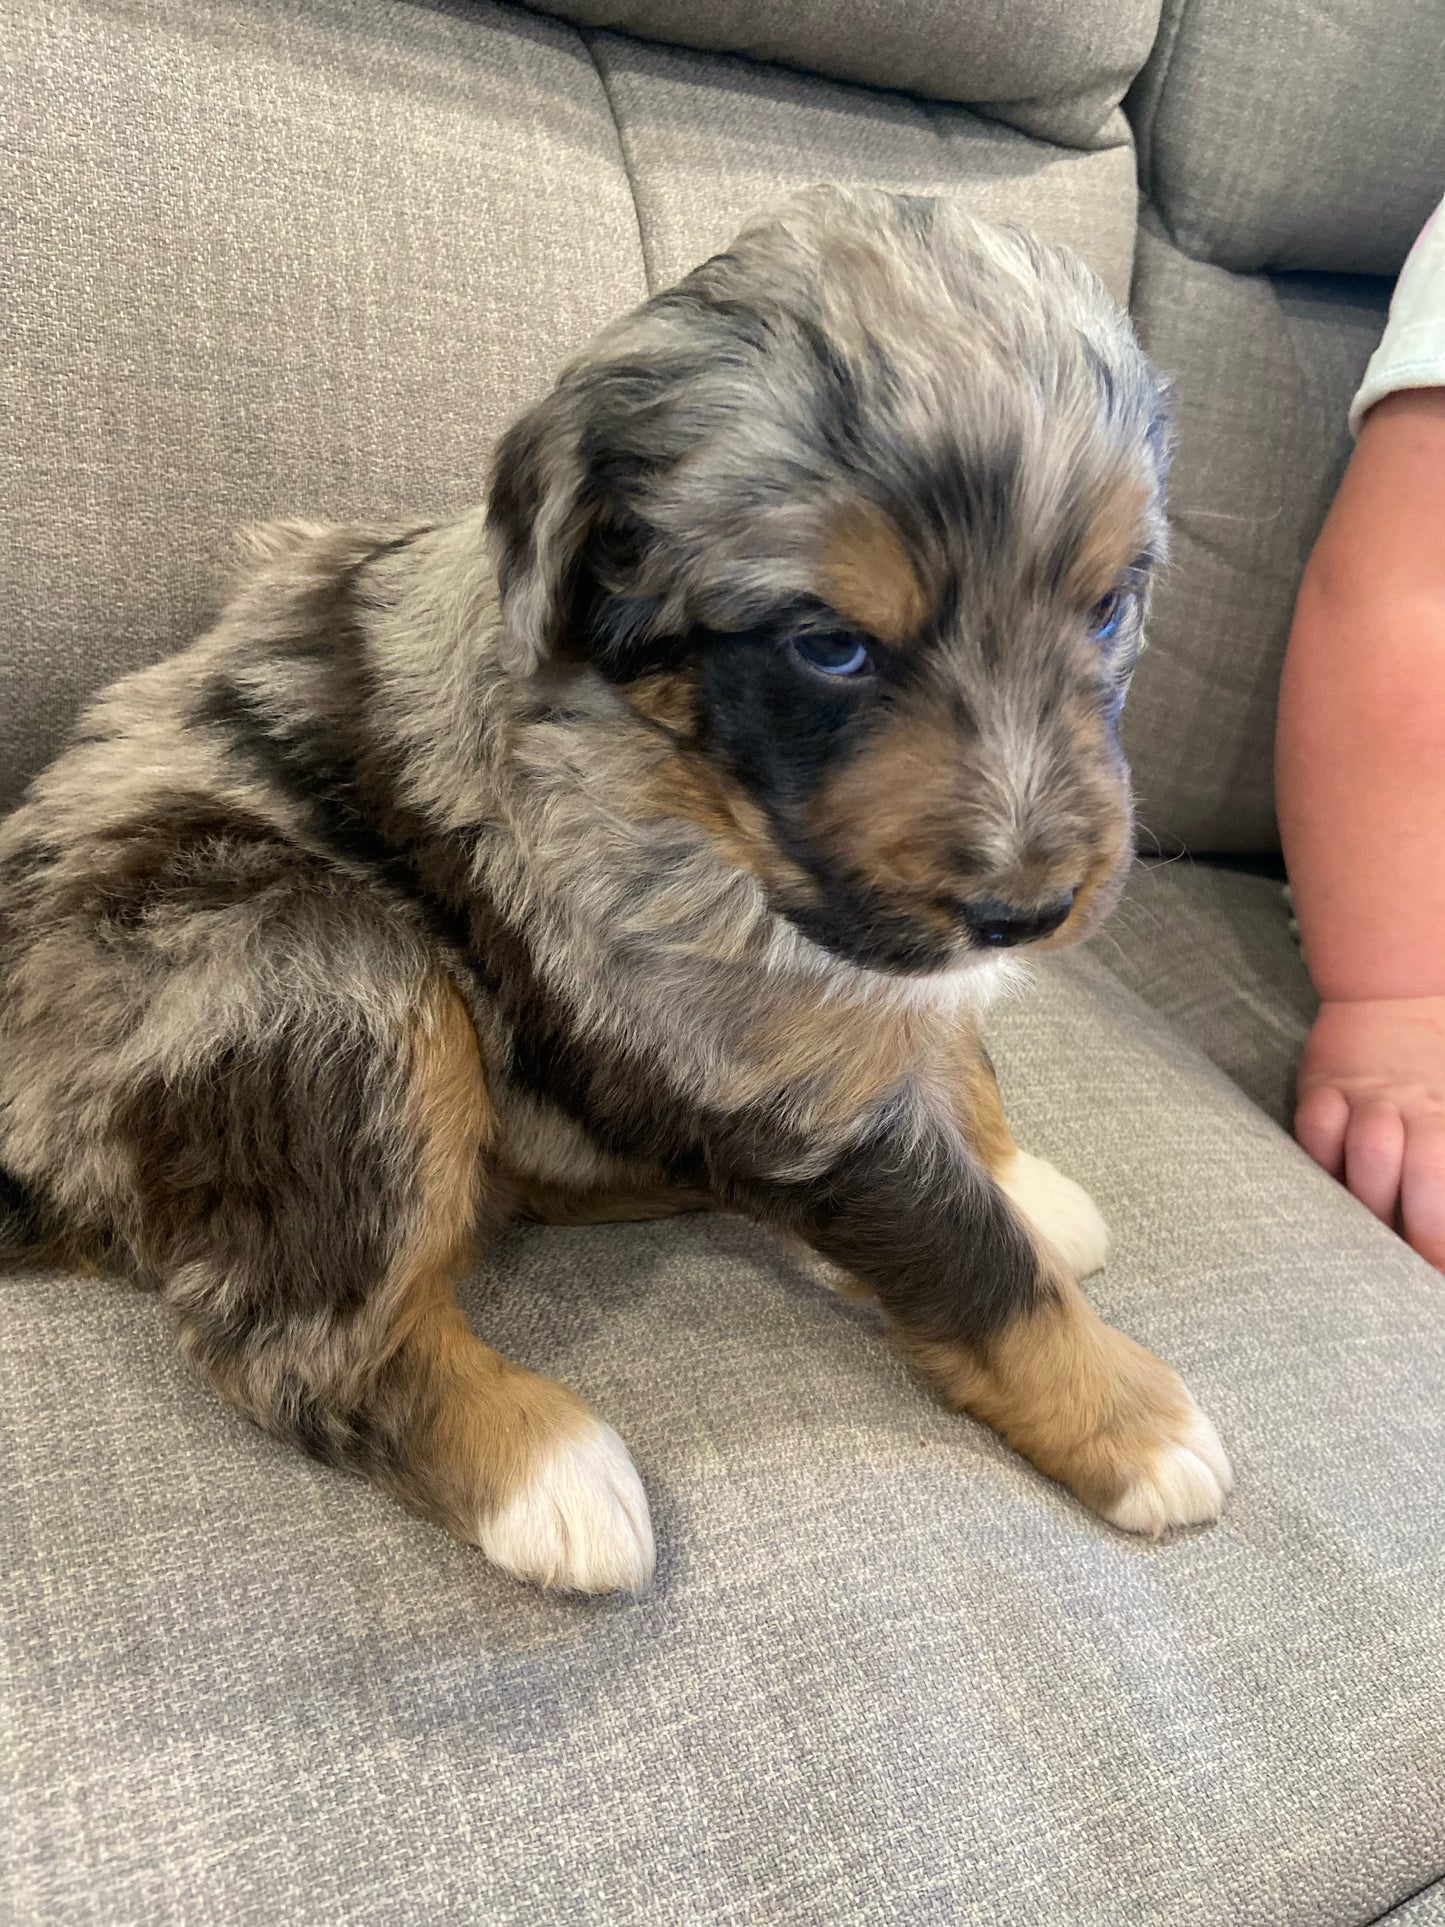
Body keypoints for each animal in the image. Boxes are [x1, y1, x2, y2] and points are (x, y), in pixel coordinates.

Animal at [0, 187, 1233, 1587]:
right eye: (829, 647)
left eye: (1108, 608)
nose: (1023, 911)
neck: (688, 780)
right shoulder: (755, 1049)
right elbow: (966, 1253)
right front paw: (1131, 1418)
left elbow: (951, 1056)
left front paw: (1017, 1177)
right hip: (320, 974)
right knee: (302, 1341)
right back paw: (547, 1473)